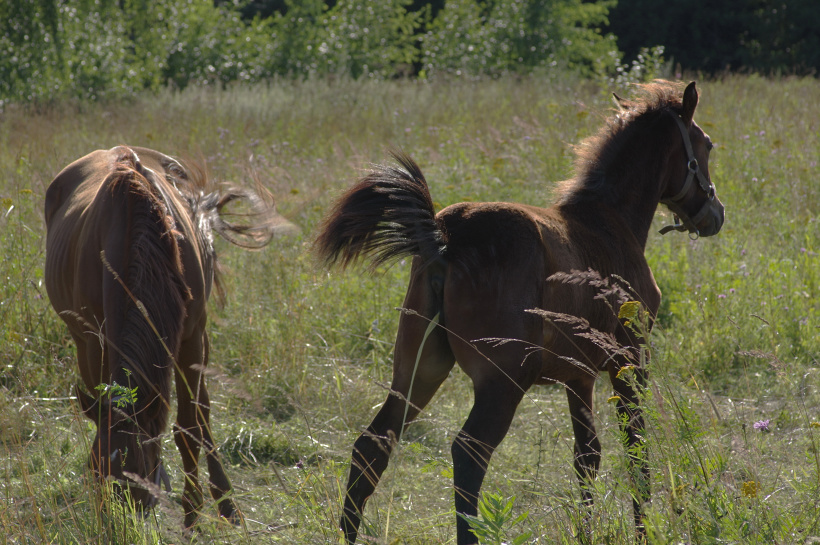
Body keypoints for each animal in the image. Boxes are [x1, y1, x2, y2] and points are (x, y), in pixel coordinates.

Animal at [44, 145, 289, 527]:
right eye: (98, 471)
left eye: (136, 474)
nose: (120, 524)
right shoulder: (97, 341)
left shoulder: (191, 337)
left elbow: (190, 425)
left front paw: (194, 512)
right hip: (84, 341)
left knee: (202, 411)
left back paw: (222, 499)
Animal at [315, 81, 724, 543]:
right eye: (707, 144)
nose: (715, 215)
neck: (607, 222)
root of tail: (445, 237)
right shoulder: (631, 361)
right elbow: (636, 450)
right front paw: (642, 531)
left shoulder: (578, 375)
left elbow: (587, 457)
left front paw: (587, 531)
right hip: (502, 381)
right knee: (468, 453)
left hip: (419, 369)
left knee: (373, 442)